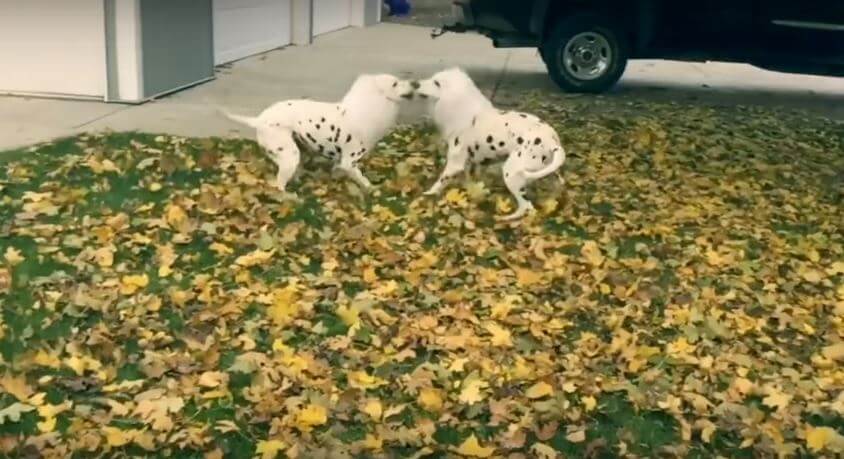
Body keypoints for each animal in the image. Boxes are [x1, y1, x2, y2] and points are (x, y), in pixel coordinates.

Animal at [221, 74, 412, 193]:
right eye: (395, 83)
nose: (415, 84)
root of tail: (259, 119)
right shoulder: (350, 162)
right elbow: (362, 179)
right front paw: (372, 189)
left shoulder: (342, 162)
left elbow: (337, 169)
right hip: (290, 156)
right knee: (279, 185)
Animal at [416, 67, 568, 222]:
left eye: (436, 83)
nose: (415, 84)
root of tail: (553, 142)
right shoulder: (470, 163)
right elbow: (469, 181)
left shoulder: (454, 164)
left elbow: (440, 181)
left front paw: (429, 193)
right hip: (549, 174)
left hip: (511, 174)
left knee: (526, 207)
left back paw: (505, 219)